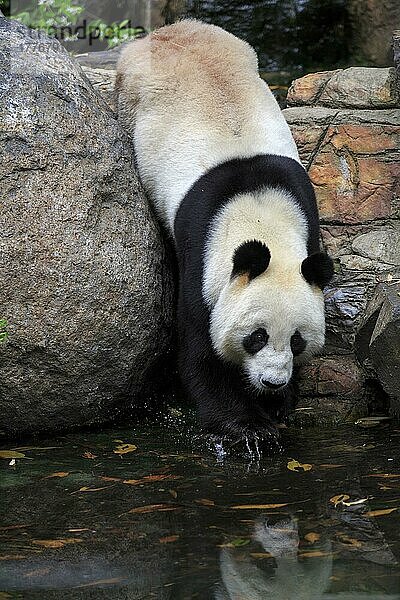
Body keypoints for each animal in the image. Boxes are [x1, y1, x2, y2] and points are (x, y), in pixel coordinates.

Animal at [116, 19, 334, 446]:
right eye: (256, 336)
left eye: (297, 339)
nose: (272, 382)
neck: (261, 214)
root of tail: (171, 29)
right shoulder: (202, 250)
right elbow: (201, 351)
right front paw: (248, 425)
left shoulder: (307, 222)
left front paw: (278, 404)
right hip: (132, 97)